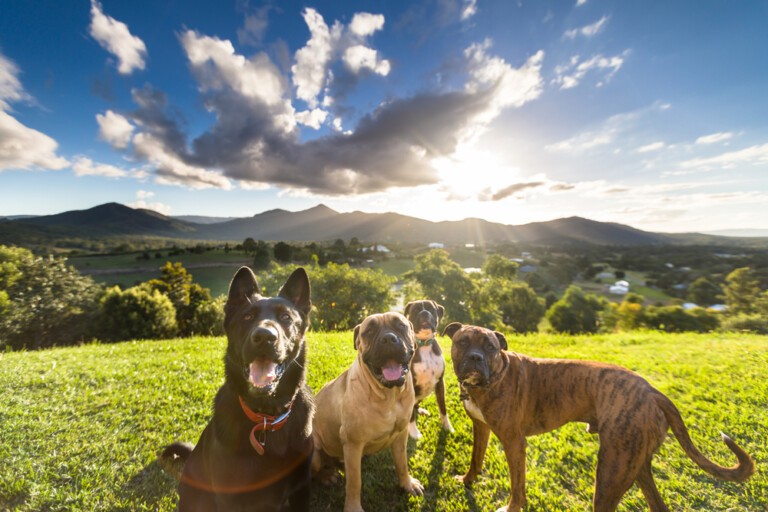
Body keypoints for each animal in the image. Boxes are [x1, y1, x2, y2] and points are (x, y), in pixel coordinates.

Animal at [159, 268, 316, 512]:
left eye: (286, 318)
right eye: (247, 317)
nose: (264, 337)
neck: (266, 418)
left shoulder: (302, 488)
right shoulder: (230, 497)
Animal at [308, 312, 424, 512]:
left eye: (400, 326)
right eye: (369, 331)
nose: (388, 339)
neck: (388, 395)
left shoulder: (400, 435)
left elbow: (402, 463)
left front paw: (407, 484)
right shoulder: (353, 444)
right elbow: (355, 482)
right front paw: (353, 507)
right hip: (314, 450)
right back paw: (326, 476)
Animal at [402, 300, 450, 440]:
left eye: (431, 309)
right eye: (416, 310)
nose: (424, 313)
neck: (424, 344)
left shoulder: (440, 383)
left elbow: (443, 407)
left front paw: (447, 427)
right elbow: (411, 417)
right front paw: (414, 433)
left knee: (416, 406)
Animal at [440, 324, 752, 512]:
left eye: (491, 347)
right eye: (463, 342)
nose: (476, 358)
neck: (494, 376)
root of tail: (652, 391)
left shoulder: (514, 443)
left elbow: (518, 485)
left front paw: (511, 507)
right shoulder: (481, 428)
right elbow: (476, 458)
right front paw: (468, 480)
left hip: (612, 470)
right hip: (634, 465)